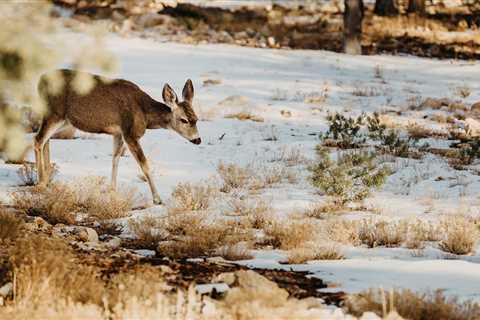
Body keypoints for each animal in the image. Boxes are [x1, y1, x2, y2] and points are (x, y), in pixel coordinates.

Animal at [34, 69, 201, 205]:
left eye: (196, 119)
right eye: (184, 120)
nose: (198, 140)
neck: (145, 114)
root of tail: (40, 80)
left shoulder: (118, 133)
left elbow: (115, 159)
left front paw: (112, 189)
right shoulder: (130, 132)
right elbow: (144, 164)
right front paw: (157, 199)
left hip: (63, 120)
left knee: (46, 140)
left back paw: (47, 178)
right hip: (55, 113)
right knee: (38, 140)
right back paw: (40, 183)